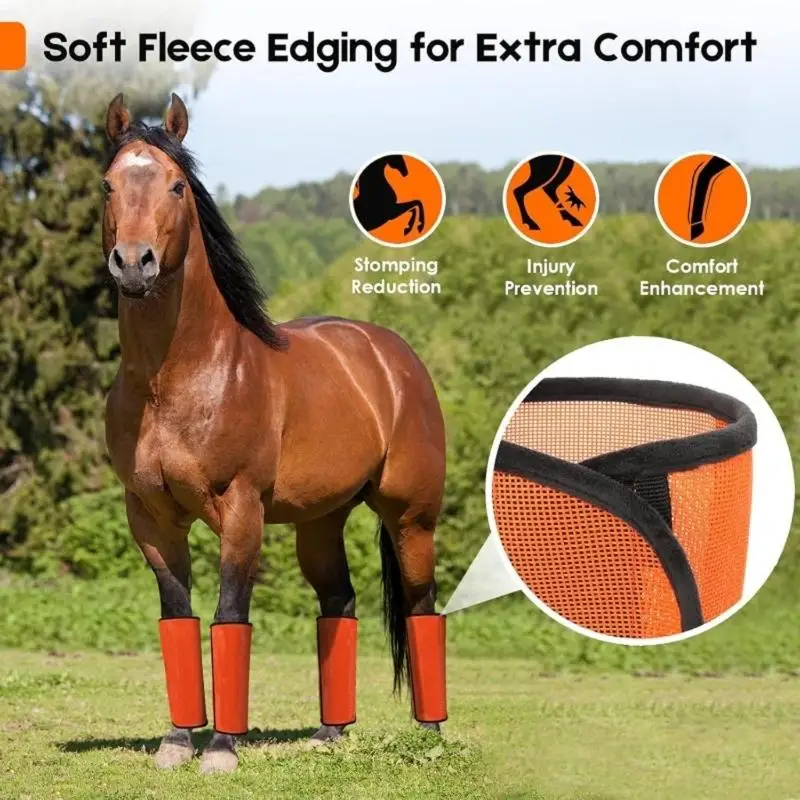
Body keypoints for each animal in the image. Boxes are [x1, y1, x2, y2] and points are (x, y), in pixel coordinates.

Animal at [102, 94, 447, 775]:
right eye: (107, 185)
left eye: (177, 186)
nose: (133, 264)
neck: (175, 380)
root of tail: (393, 356)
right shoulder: (150, 517)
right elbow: (177, 616)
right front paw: (177, 742)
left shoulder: (241, 510)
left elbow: (230, 616)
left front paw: (221, 750)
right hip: (320, 522)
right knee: (339, 603)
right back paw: (330, 732)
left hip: (411, 518)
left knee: (423, 607)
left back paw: (430, 736)